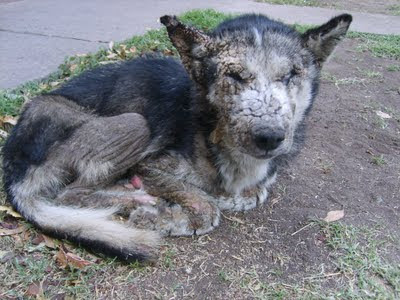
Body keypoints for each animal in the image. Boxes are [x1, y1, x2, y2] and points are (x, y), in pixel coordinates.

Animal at [3, 12, 354, 260]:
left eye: (291, 75)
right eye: (234, 76)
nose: (269, 137)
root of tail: (13, 164)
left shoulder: (257, 183)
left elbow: (252, 194)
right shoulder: (148, 164)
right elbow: (204, 203)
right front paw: (164, 217)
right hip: (133, 124)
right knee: (70, 193)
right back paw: (135, 198)